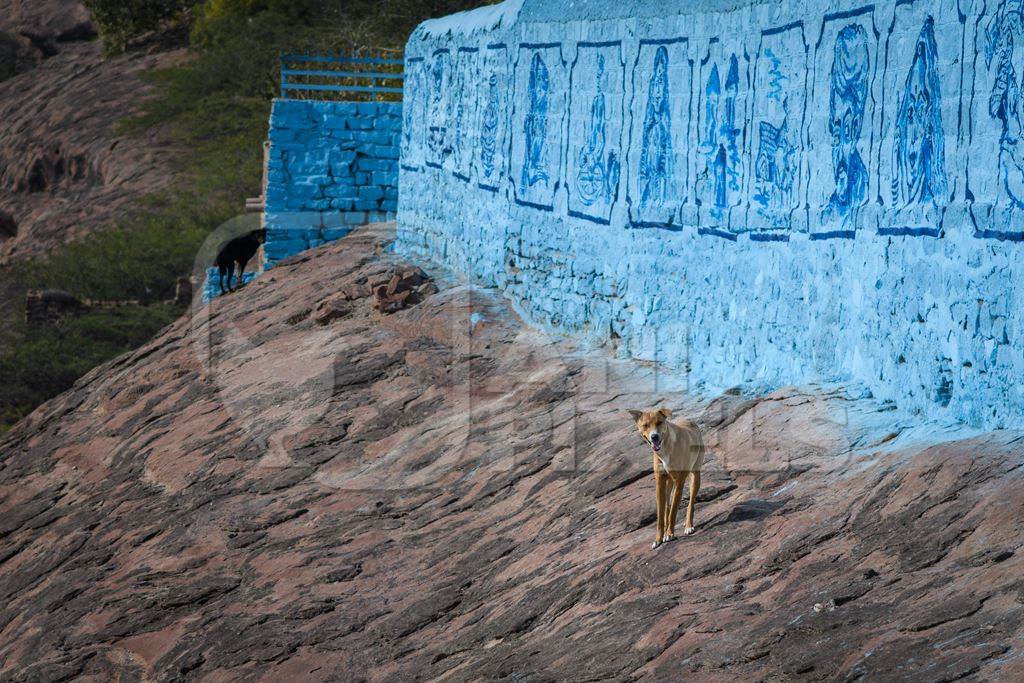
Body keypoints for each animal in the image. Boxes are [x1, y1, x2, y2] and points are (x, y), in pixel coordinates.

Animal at [626, 409, 708, 548]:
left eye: (659, 422)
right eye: (645, 425)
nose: (654, 437)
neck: (666, 448)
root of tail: (690, 421)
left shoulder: (679, 482)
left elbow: (674, 511)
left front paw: (669, 534)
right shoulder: (660, 483)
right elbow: (661, 515)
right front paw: (659, 538)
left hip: (695, 476)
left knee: (690, 503)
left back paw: (688, 526)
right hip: (668, 484)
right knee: (667, 507)